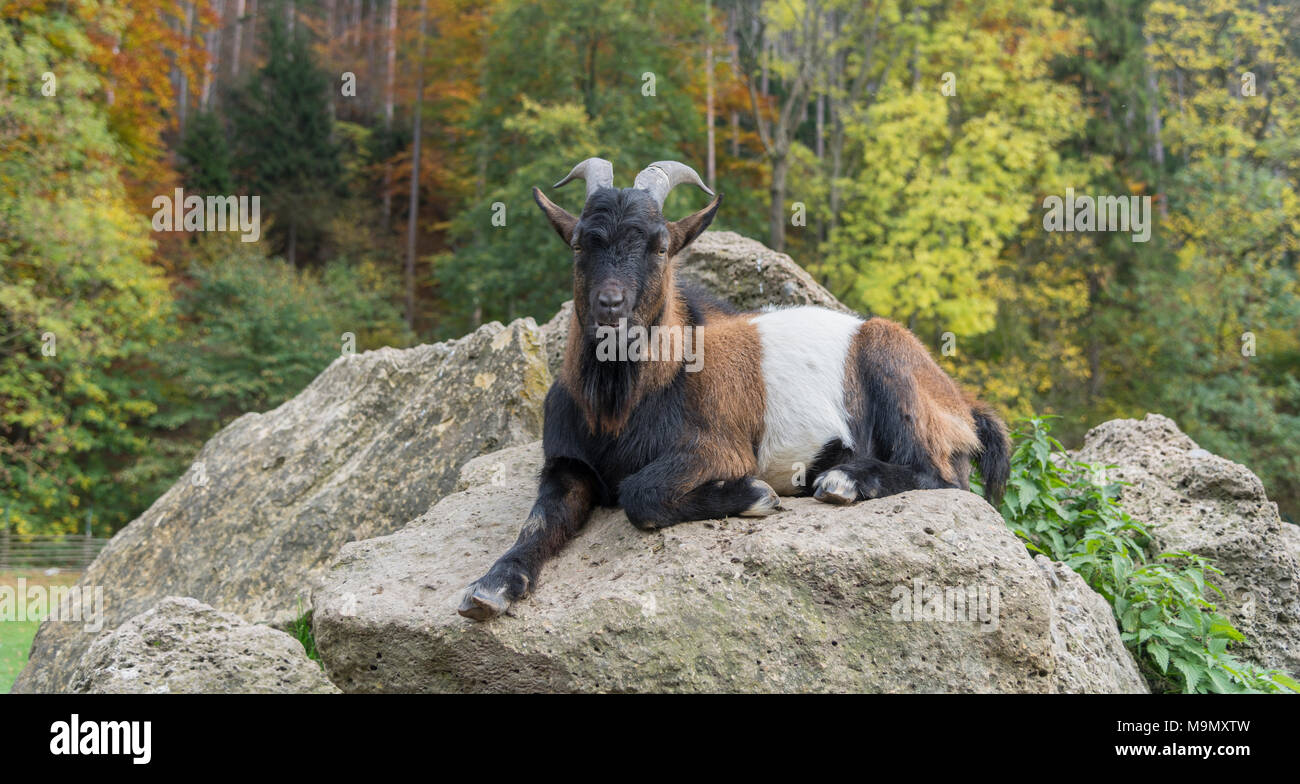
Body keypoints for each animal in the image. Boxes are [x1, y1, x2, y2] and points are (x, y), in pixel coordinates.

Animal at [457, 159, 1013, 621]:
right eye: (579, 243)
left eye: (660, 245)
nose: (610, 306)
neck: (621, 406)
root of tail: (962, 405)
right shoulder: (567, 464)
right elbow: (538, 522)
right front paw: (490, 587)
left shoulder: (717, 448)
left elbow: (641, 492)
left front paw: (755, 495)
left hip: (891, 363)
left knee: (941, 475)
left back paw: (843, 481)